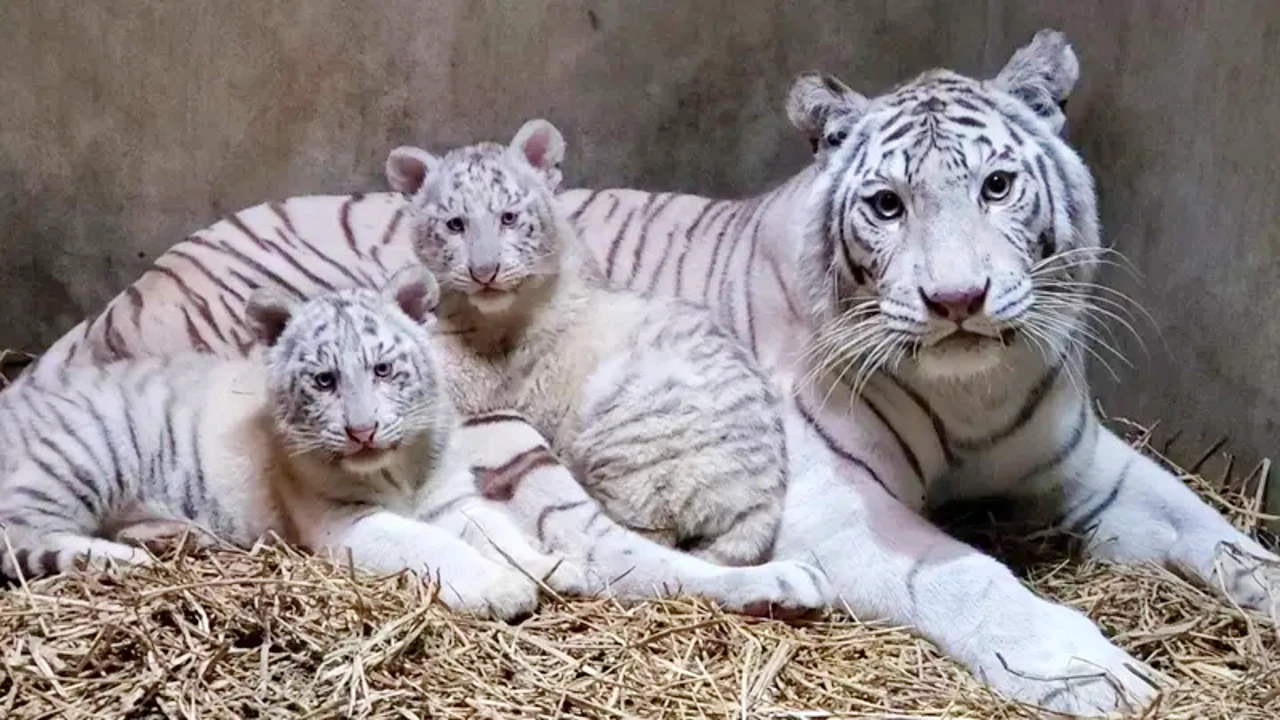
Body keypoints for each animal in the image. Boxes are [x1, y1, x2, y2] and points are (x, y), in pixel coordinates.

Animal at [22, 28, 1280, 712]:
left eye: (996, 186)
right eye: (884, 204)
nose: (956, 301)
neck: (971, 388)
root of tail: (138, 282)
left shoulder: (1091, 466)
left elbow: (1215, 535)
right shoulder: (828, 502)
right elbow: (965, 576)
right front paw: (1081, 667)